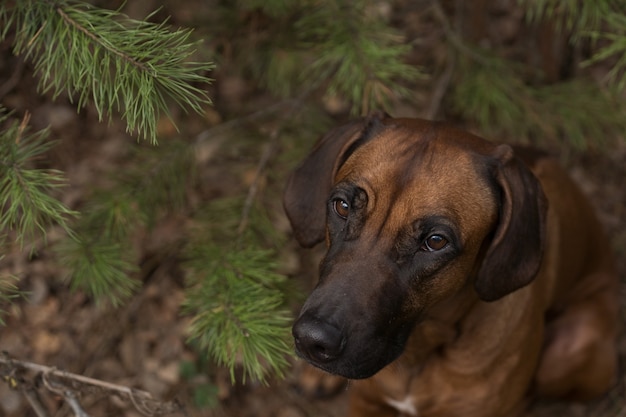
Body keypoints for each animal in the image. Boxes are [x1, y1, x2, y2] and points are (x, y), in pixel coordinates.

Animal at [284, 114, 620, 416]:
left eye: (435, 241)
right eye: (342, 206)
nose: (312, 339)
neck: (421, 346)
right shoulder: (367, 403)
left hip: (576, 347)